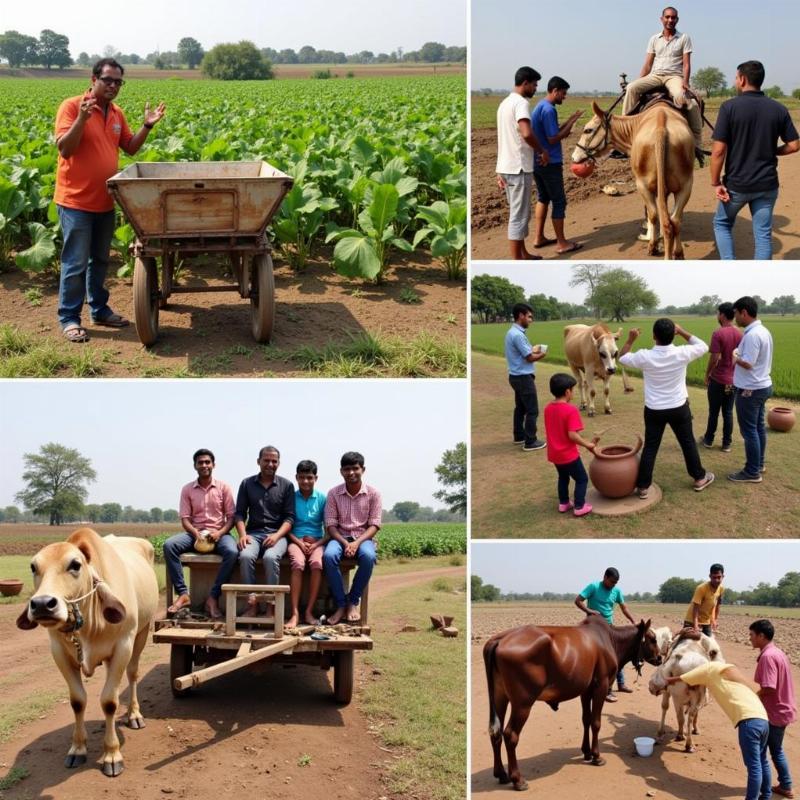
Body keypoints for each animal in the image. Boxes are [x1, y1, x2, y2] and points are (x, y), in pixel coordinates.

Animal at [16, 528, 158, 780]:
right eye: (33, 567)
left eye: (75, 564)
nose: (42, 604)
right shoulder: (60, 653)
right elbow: (78, 701)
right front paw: (78, 748)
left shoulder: (123, 647)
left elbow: (109, 702)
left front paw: (112, 754)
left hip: (141, 633)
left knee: (132, 675)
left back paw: (134, 714)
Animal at [482, 616, 664, 792]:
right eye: (653, 639)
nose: (660, 658)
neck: (612, 640)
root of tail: (499, 639)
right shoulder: (601, 686)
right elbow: (596, 723)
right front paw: (596, 756)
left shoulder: (586, 690)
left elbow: (586, 720)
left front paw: (587, 752)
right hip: (523, 703)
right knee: (510, 735)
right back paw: (517, 779)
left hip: (500, 697)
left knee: (495, 733)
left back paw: (501, 774)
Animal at [568, 98, 692, 258]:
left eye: (588, 130)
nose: (573, 157)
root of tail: (661, 127)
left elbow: (652, 215)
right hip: (686, 185)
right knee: (674, 220)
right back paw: (677, 252)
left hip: (642, 185)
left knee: (655, 215)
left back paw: (653, 246)